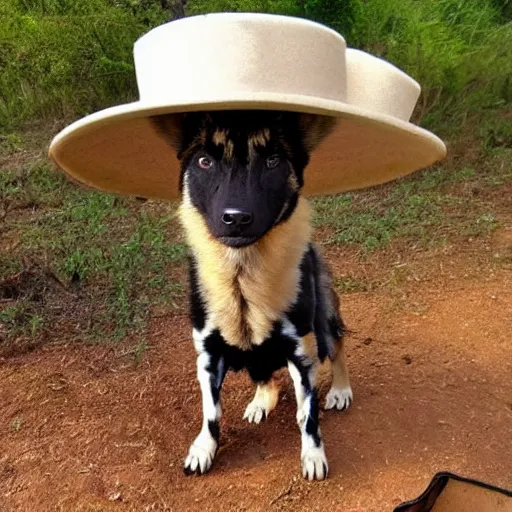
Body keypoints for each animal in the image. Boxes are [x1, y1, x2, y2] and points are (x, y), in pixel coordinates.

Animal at [154, 108, 352, 480]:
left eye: (273, 160)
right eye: (204, 161)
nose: (235, 218)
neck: (242, 276)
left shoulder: (302, 353)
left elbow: (311, 419)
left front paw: (313, 454)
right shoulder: (208, 356)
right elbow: (211, 414)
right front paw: (204, 449)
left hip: (324, 319)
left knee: (336, 348)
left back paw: (339, 389)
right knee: (265, 375)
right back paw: (262, 401)